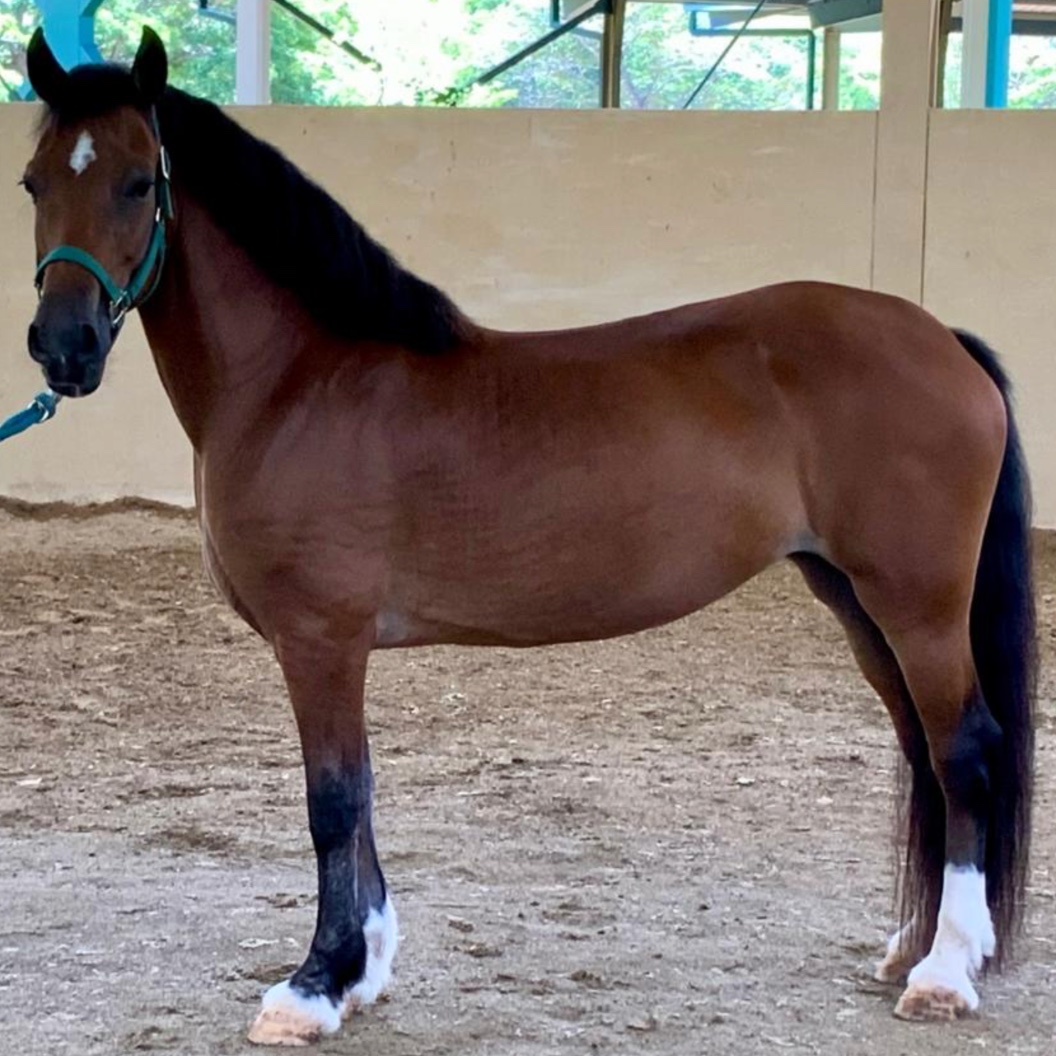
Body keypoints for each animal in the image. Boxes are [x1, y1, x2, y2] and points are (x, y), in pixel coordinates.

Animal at [20, 26, 1035, 1046]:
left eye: (138, 183)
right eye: (33, 182)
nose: (62, 347)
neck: (300, 381)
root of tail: (940, 339)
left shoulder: (321, 641)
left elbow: (332, 802)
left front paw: (315, 985)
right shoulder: (335, 649)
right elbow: (362, 794)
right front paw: (363, 969)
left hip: (918, 604)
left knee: (964, 751)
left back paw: (945, 970)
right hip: (856, 599)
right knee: (921, 748)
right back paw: (913, 944)